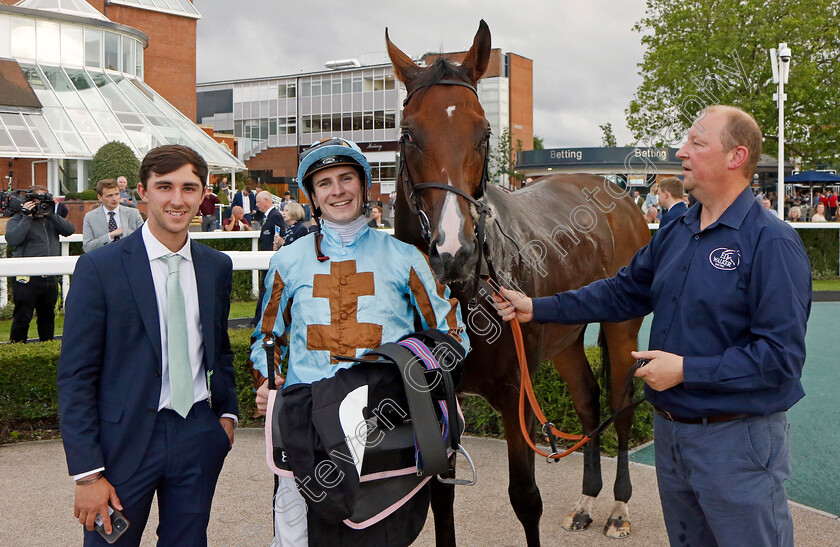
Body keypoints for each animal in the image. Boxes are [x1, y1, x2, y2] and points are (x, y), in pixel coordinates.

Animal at [386, 20, 648, 544]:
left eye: (485, 132)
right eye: (408, 133)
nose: (454, 252)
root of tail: (616, 191)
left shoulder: (514, 395)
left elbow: (526, 499)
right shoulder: (439, 397)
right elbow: (441, 501)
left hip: (622, 327)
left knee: (621, 405)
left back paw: (618, 508)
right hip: (566, 338)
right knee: (589, 402)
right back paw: (587, 500)